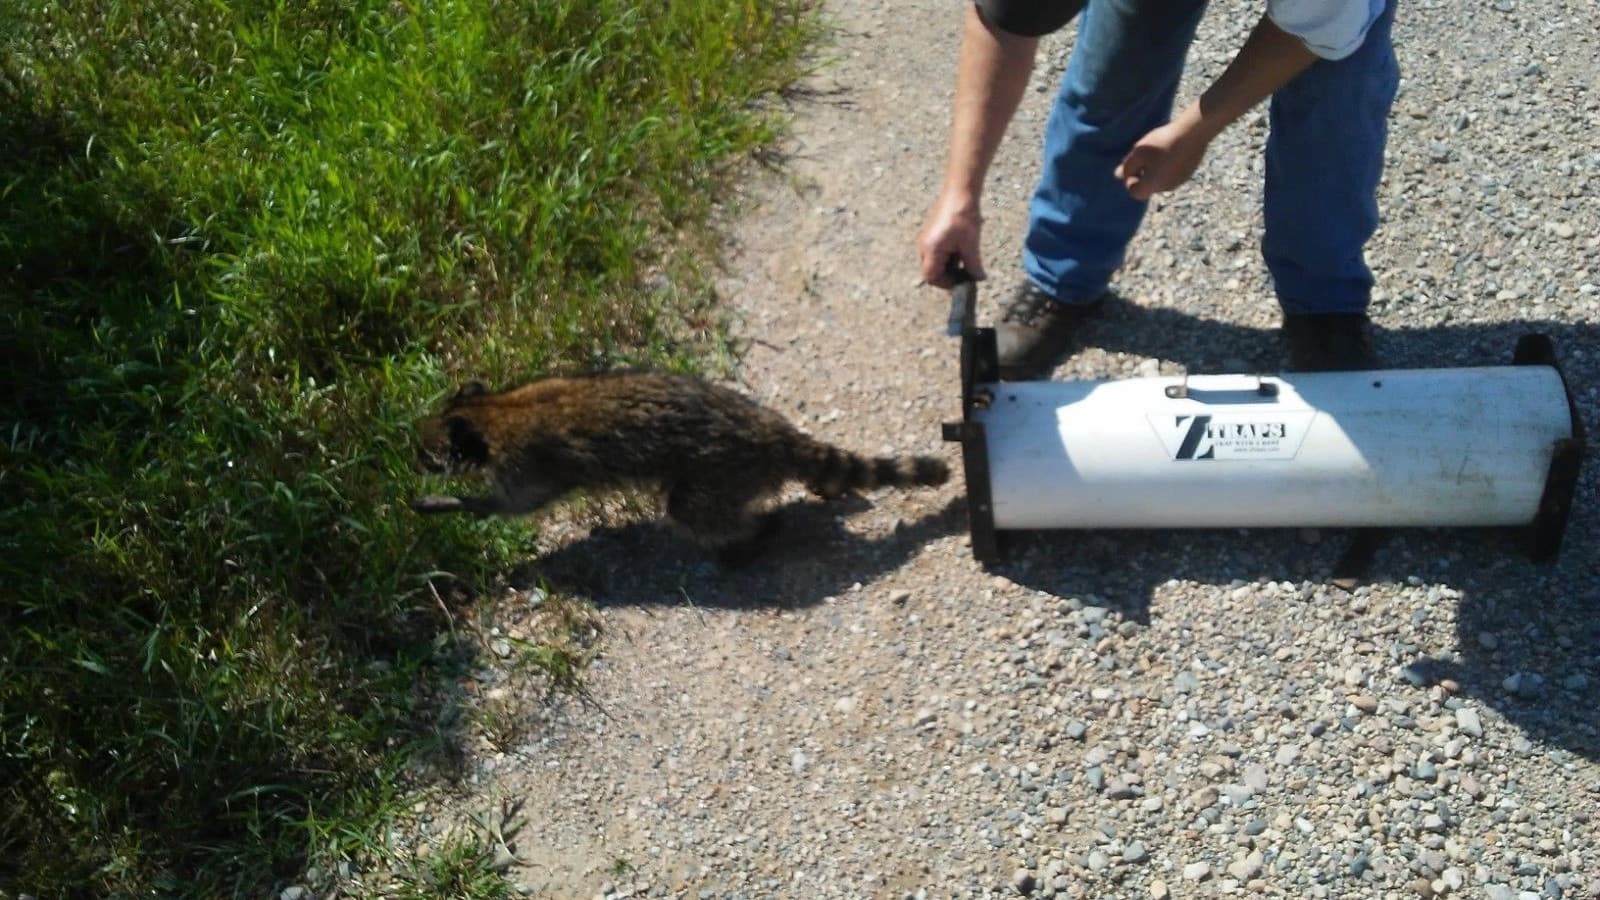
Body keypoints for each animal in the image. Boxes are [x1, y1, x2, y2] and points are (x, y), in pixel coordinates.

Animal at [410, 371, 949, 563]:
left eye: (424, 457)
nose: (408, 461)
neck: (493, 412)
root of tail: (773, 434)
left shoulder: (528, 464)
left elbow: (512, 506)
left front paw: (455, 503)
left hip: (718, 472)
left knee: (696, 514)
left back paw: (754, 532)